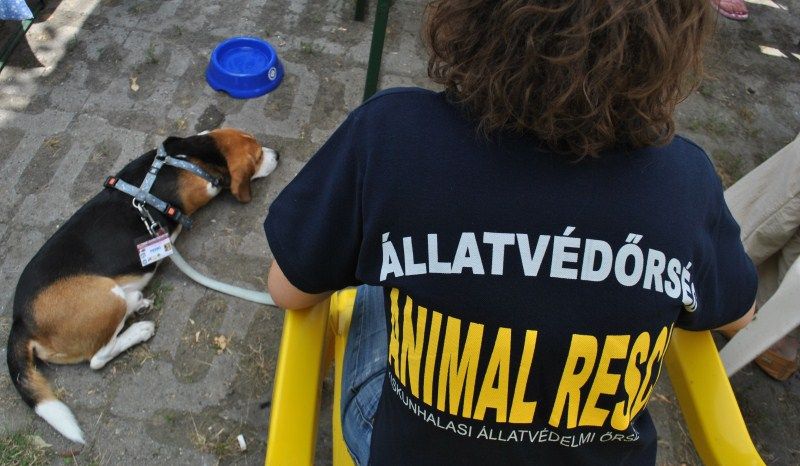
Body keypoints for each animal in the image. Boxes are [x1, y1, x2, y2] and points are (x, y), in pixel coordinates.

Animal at [6, 128, 278, 444]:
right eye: (257, 156)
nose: (277, 154)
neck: (189, 154)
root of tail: (20, 321)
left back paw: (137, 302)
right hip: (106, 297)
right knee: (98, 358)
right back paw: (140, 328)